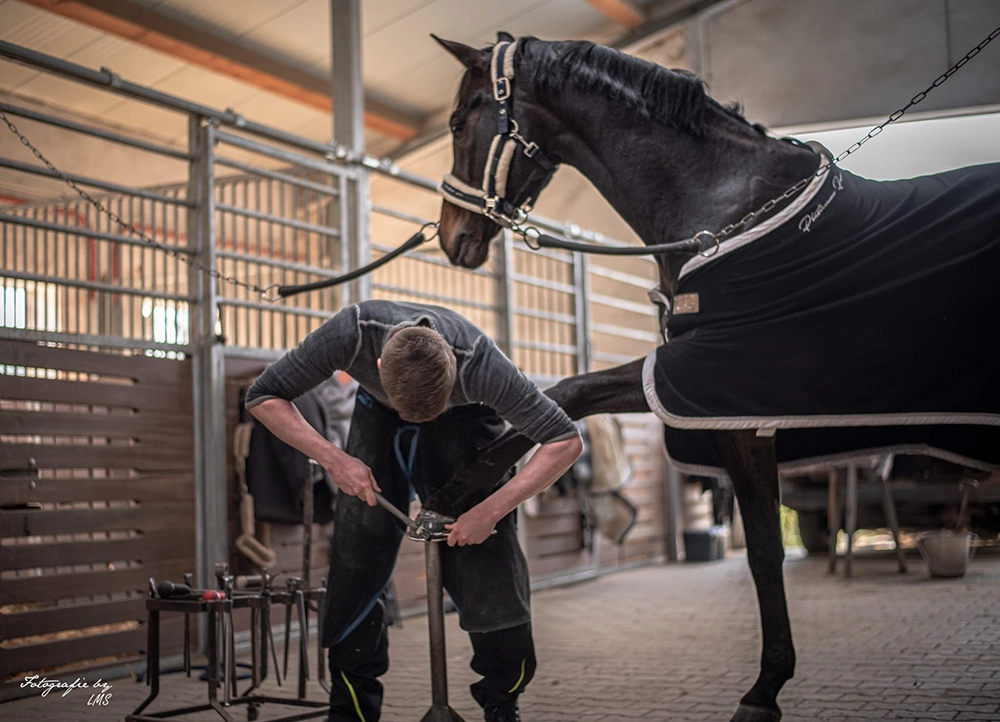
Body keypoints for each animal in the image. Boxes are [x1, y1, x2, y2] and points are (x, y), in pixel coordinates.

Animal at [428, 32, 1000, 722]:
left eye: (459, 123)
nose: (451, 238)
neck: (724, 205)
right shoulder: (698, 392)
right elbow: (572, 396)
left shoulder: (714, 393)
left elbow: (760, 547)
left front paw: (460, 486)